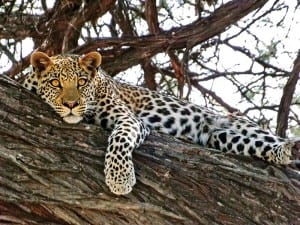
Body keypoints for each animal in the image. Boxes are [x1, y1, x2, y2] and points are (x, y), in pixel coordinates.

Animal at [22, 51, 296, 195]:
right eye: (55, 83)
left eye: (81, 82)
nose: (70, 104)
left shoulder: (129, 119)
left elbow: (119, 139)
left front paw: (120, 178)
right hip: (221, 137)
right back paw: (286, 152)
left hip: (241, 125)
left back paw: (290, 147)